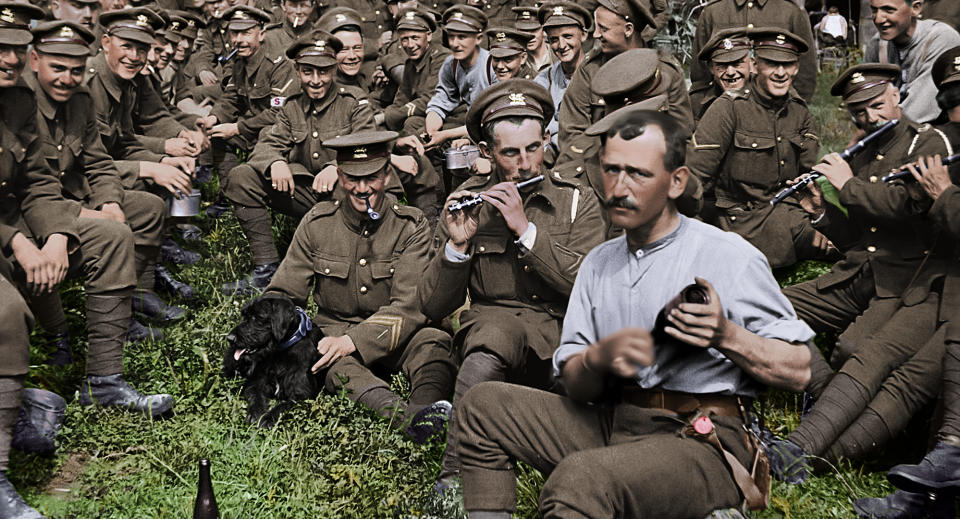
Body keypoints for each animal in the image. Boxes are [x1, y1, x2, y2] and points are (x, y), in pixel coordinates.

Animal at [222, 294, 324, 428]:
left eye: (257, 317)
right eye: (244, 315)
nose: (230, 338)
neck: (280, 352)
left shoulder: (302, 395)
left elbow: (283, 405)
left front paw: (268, 418)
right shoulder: (256, 383)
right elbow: (256, 397)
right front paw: (254, 414)